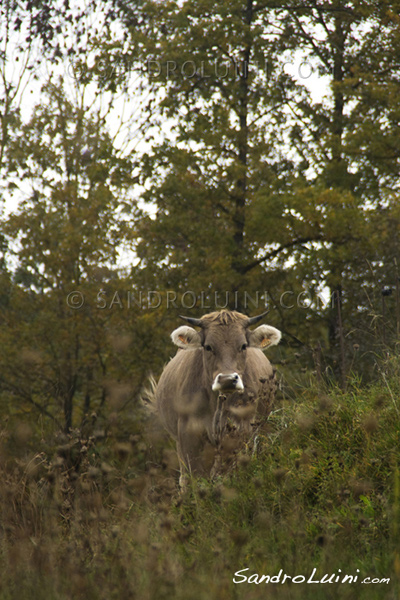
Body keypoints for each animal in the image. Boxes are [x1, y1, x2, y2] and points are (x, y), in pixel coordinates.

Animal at [153, 310, 282, 488]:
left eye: (243, 346)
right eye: (208, 346)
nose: (227, 379)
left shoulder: (239, 431)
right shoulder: (188, 434)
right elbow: (195, 477)